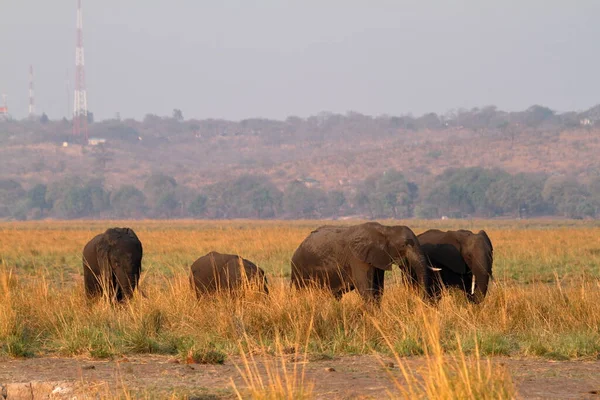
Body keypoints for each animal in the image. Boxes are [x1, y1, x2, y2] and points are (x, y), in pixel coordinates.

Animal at [290, 222, 432, 304]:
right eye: (403, 245)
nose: (422, 300)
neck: (385, 229)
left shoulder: (377, 258)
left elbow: (378, 290)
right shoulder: (357, 258)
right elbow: (365, 289)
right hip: (299, 269)